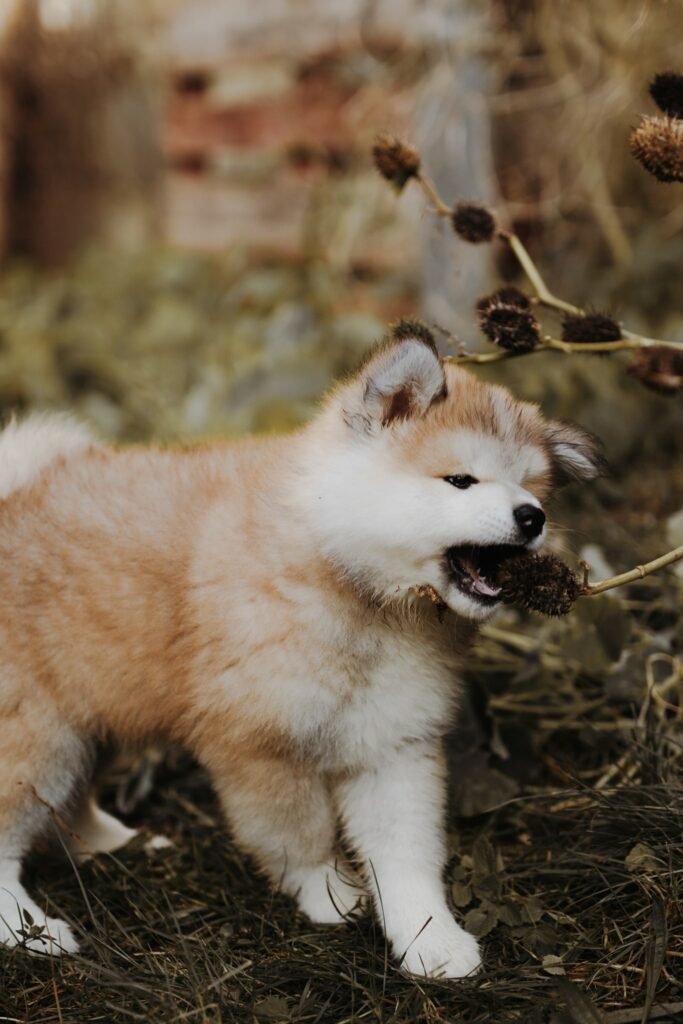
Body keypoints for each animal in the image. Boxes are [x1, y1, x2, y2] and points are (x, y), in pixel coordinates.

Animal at [0, 333, 598, 974]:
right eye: (460, 481)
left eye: (531, 489)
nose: (532, 517)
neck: (363, 598)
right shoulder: (261, 747)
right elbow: (302, 840)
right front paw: (331, 895)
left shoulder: (393, 742)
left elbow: (407, 858)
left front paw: (430, 938)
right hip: (39, 737)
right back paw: (31, 931)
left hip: (87, 720)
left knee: (68, 807)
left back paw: (116, 843)